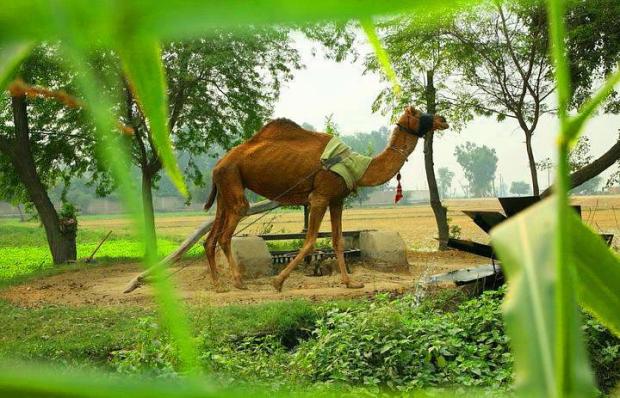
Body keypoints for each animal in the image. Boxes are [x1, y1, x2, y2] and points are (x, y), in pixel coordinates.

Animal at [203, 105, 450, 292]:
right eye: (418, 112)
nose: (442, 119)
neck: (357, 166)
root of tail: (218, 165)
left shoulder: (336, 199)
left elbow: (338, 240)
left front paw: (350, 282)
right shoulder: (320, 197)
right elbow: (310, 240)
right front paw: (278, 281)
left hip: (225, 188)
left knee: (211, 237)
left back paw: (218, 284)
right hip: (232, 180)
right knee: (226, 232)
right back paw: (238, 282)